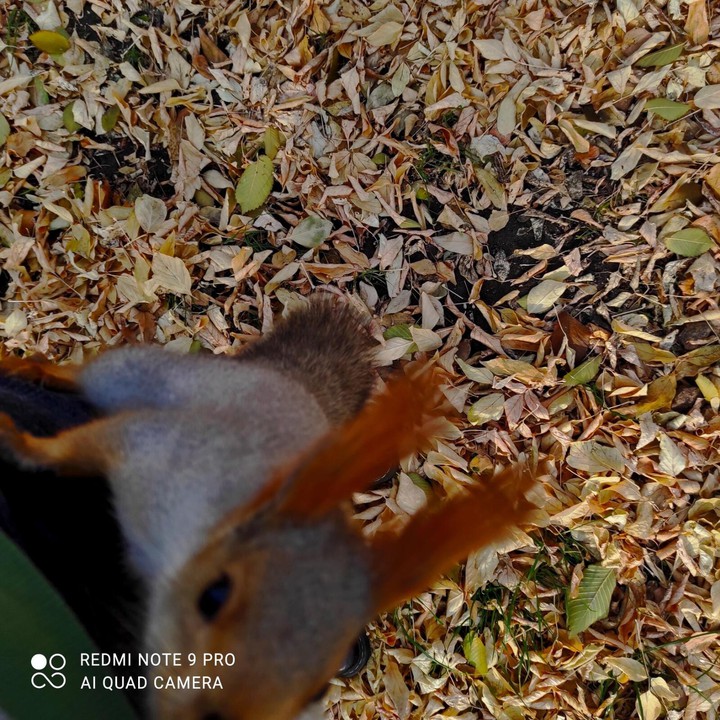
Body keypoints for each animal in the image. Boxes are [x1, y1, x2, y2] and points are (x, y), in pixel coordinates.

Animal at [0, 296, 538, 720]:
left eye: (318, 688)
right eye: (213, 595)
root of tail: (276, 376)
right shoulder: (154, 449)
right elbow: (77, 447)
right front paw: (22, 442)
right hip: (136, 375)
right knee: (82, 374)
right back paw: (31, 369)